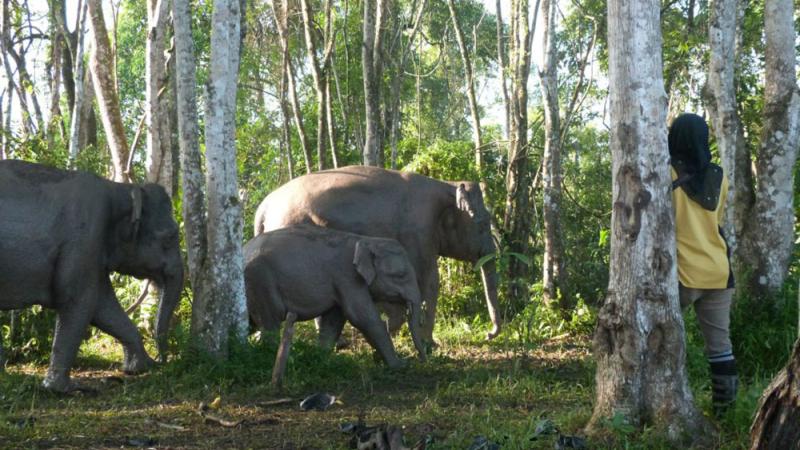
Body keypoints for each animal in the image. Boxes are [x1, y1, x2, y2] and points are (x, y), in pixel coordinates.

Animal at [0, 160, 183, 392]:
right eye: (170, 237)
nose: (163, 361)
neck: (119, 189)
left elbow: (103, 307)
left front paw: (138, 368)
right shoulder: (84, 239)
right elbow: (78, 301)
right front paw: (67, 389)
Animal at [244, 225, 428, 380]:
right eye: (400, 275)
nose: (421, 359)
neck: (365, 240)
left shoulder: (340, 283)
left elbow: (334, 319)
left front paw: (322, 358)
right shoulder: (347, 277)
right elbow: (363, 318)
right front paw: (400, 365)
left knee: (252, 323)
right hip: (260, 283)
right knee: (270, 324)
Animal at [253, 165, 500, 344]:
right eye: (483, 224)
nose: (487, 334)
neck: (446, 185)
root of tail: (262, 208)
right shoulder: (418, 228)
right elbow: (429, 280)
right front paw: (430, 344)